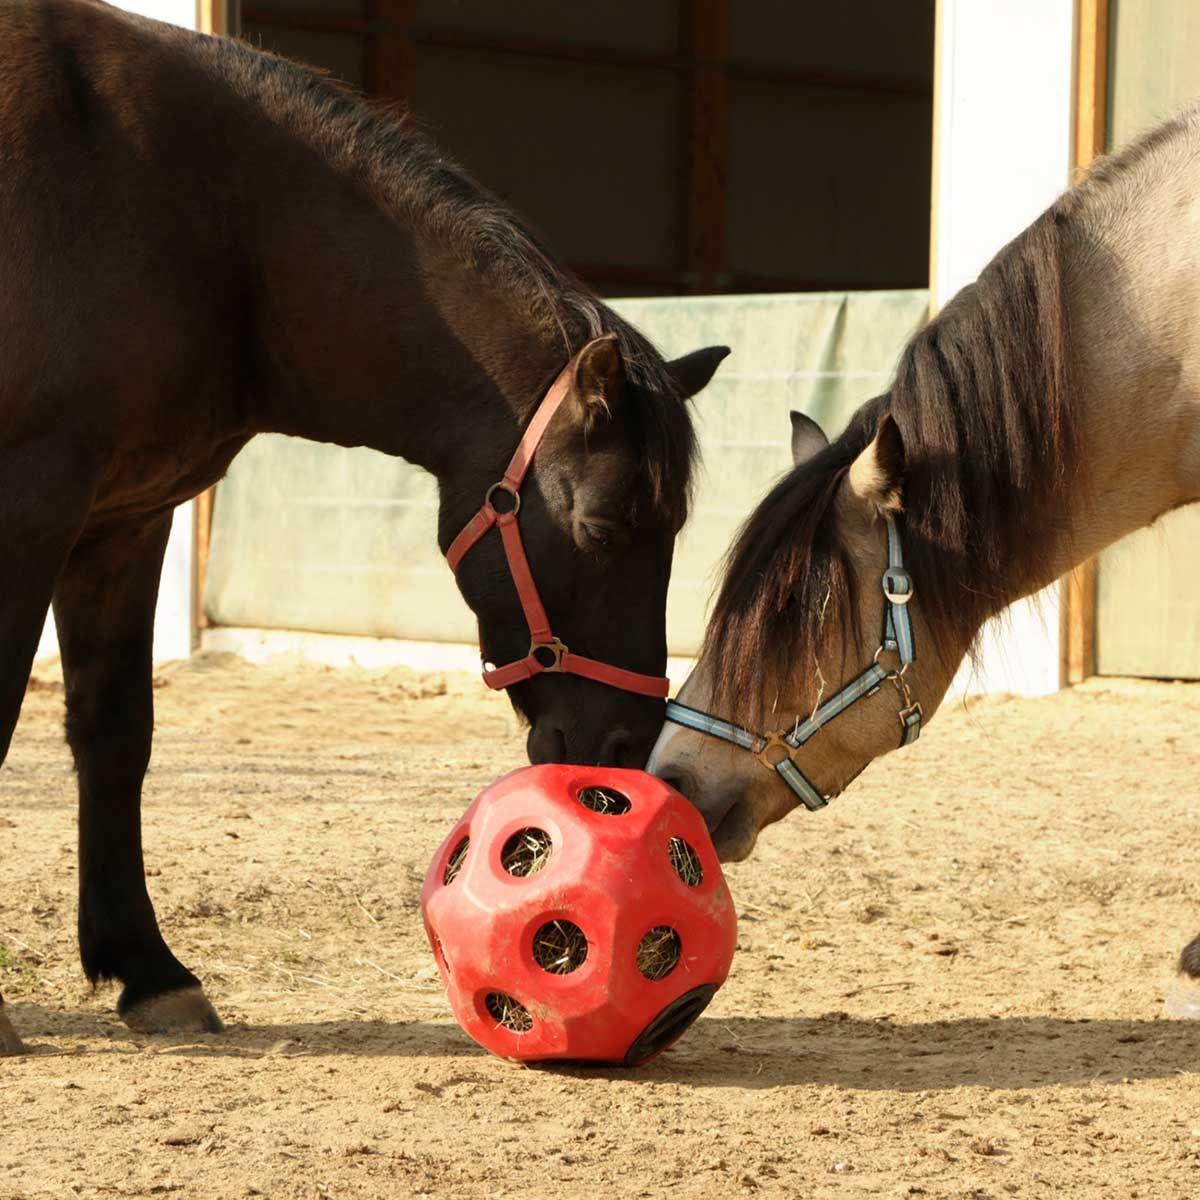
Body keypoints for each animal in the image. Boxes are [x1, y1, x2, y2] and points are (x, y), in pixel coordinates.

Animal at [0, 0, 728, 1054]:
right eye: (602, 527)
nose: (627, 749)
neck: (195, 212)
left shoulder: (123, 523)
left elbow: (115, 732)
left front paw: (148, 970)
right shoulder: (30, 503)